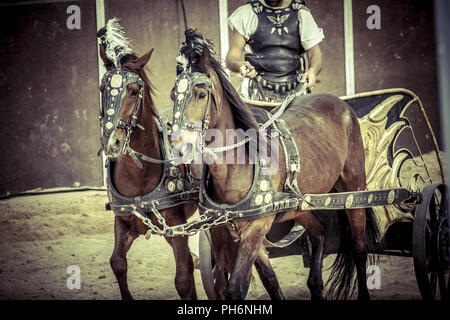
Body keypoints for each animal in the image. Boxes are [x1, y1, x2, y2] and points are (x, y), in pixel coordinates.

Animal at [96, 21, 197, 300]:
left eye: (134, 90)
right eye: (102, 89)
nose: (111, 143)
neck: (139, 173)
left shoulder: (176, 224)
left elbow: (183, 278)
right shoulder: (123, 221)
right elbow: (117, 263)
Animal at [170, 29, 380, 300]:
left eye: (201, 94)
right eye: (173, 96)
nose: (179, 148)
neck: (235, 168)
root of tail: (342, 105)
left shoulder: (256, 226)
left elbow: (236, 286)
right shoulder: (229, 229)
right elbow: (266, 280)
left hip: (354, 190)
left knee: (359, 249)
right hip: (300, 205)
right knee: (319, 230)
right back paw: (316, 284)